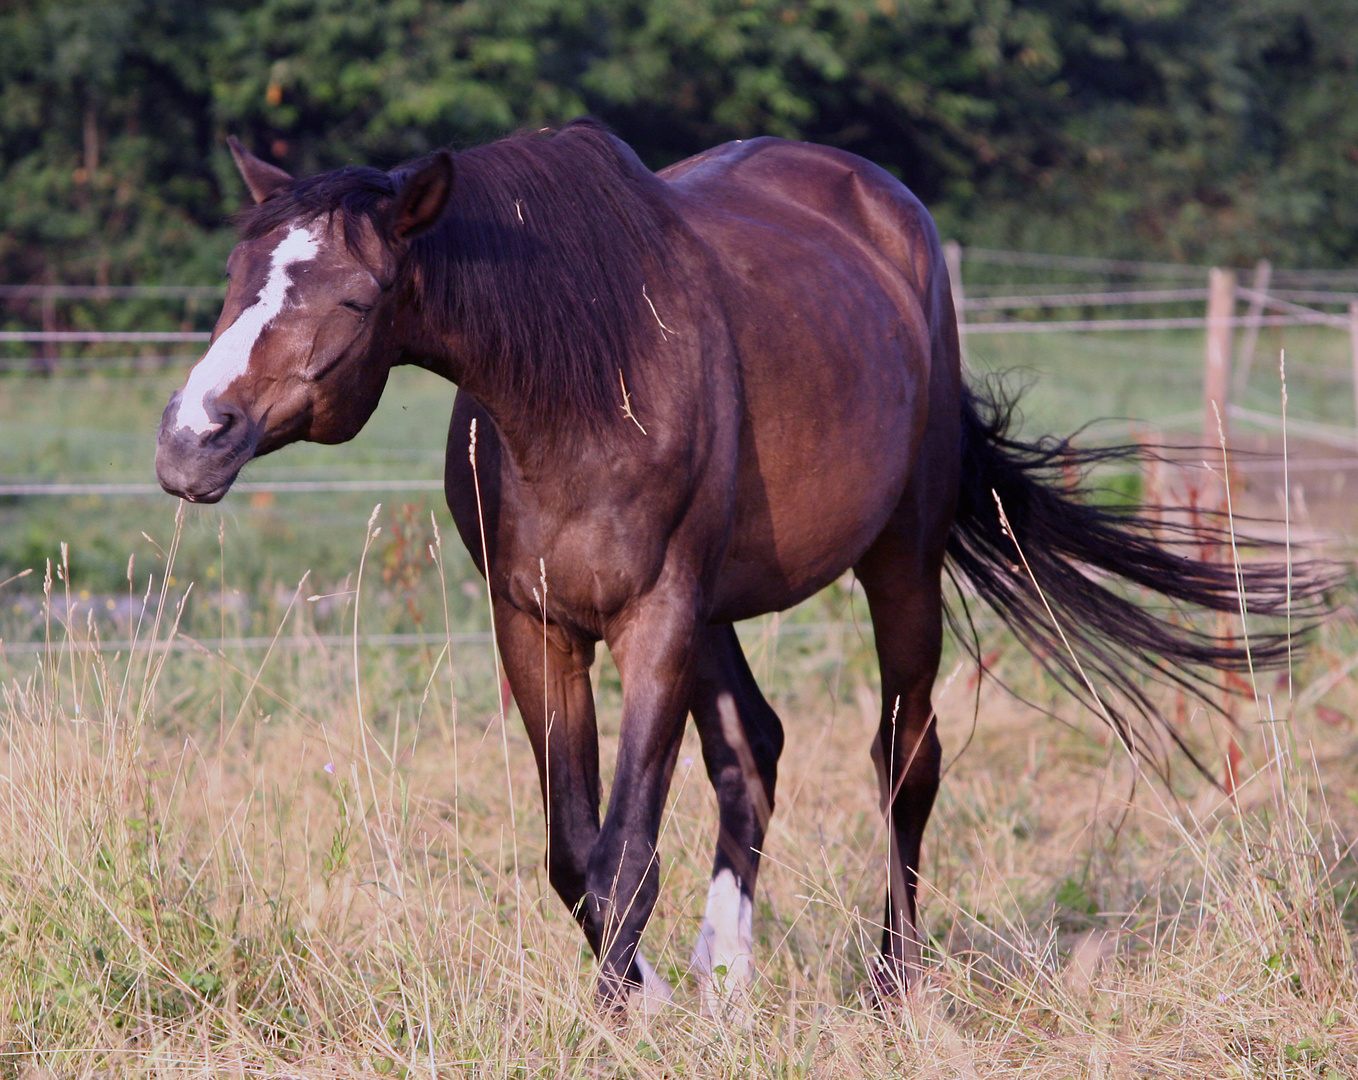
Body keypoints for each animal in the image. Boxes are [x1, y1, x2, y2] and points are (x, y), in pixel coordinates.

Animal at [156, 122, 1314, 1016]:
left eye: (356, 301)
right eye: (234, 280)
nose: (189, 442)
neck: (584, 382)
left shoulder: (655, 622)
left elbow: (624, 851)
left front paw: (622, 1014)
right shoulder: (535, 625)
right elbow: (575, 850)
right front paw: (657, 996)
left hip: (895, 565)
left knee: (905, 759)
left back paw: (892, 983)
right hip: (717, 614)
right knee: (752, 752)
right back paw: (727, 979)